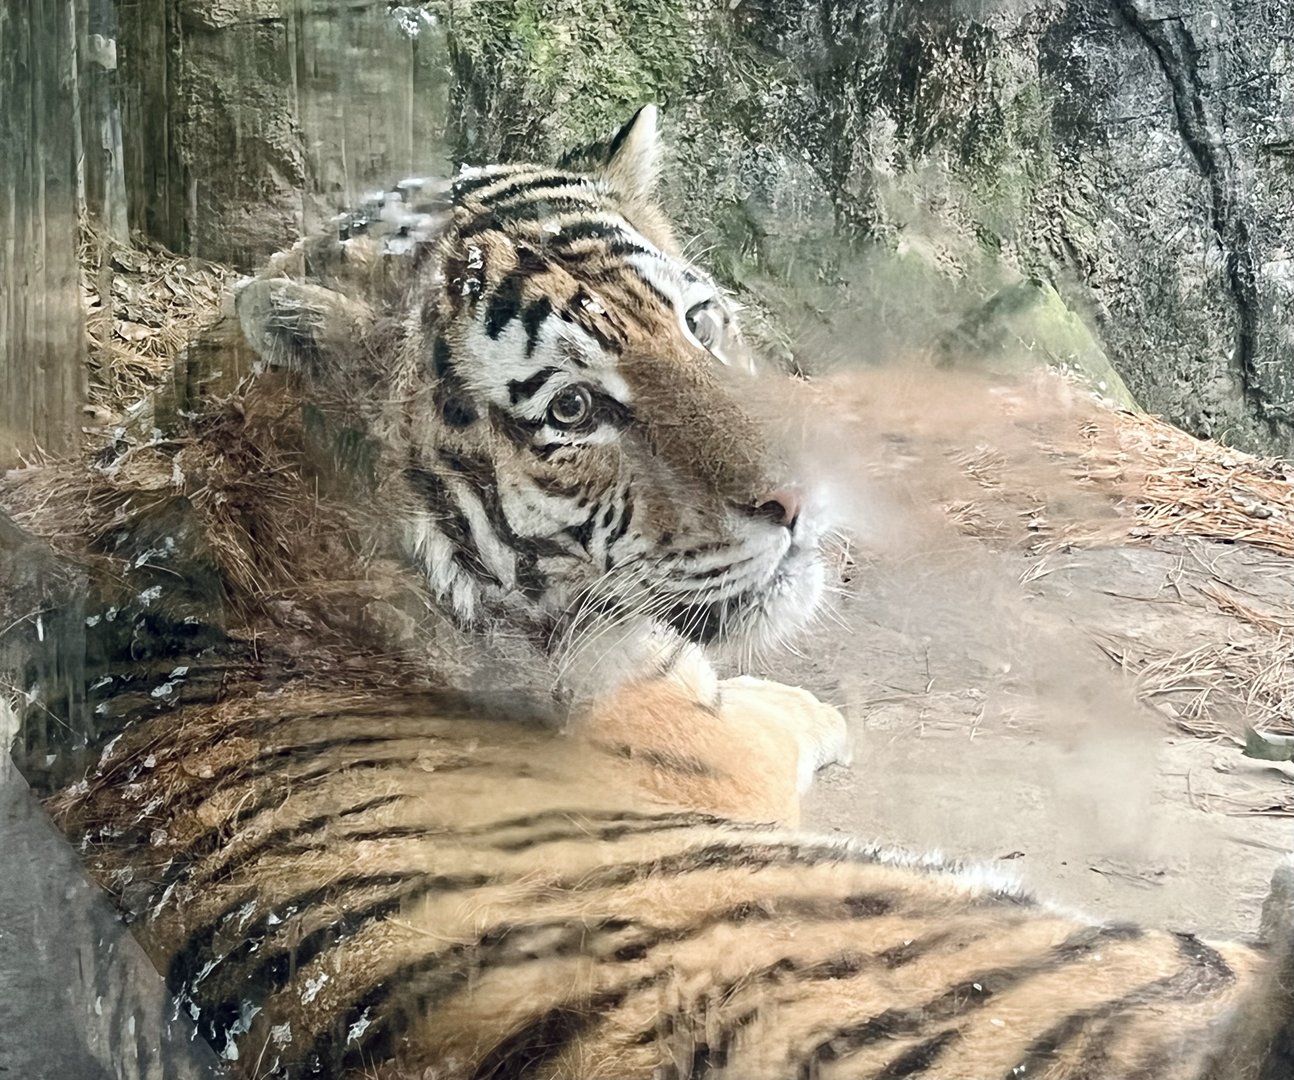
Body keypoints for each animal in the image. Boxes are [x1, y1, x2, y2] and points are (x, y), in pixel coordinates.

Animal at [16, 105, 1294, 1080]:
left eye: (700, 319)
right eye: (574, 410)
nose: (801, 494)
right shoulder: (712, 736)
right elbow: (771, 709)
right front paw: (822, 710)